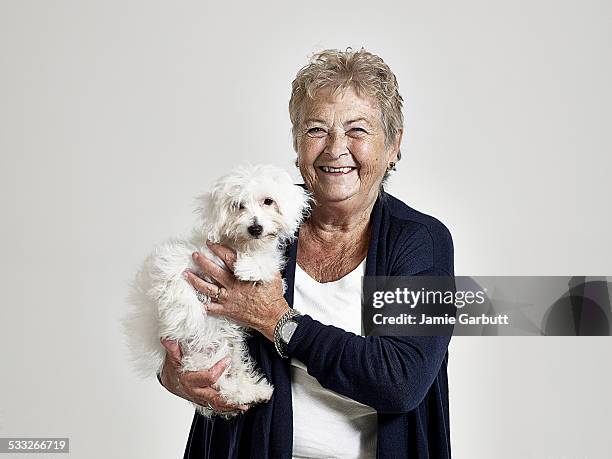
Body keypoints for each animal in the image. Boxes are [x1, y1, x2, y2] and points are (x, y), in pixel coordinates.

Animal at [123, 164, 310, 418]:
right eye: (238, 205)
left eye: (268, 201)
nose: (255, 227)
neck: (241, 246)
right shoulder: (180, 262)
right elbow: (178, 287)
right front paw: (190, 318)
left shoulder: (270, 264)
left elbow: (266, 265)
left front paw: (249, 267)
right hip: (208, 355)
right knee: (215, 380)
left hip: (226, 350)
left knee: (226, 380)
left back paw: (253, 392)